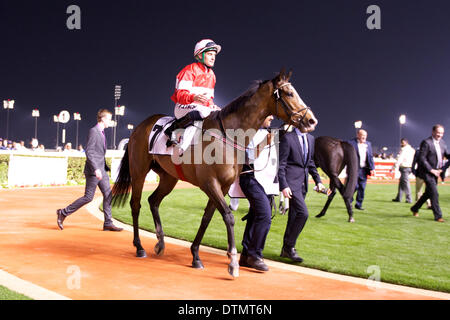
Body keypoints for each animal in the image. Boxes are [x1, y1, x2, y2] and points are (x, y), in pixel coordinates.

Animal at [111, 69, 318, 278]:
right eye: (289, 94)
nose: (311, 120)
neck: (228, 136)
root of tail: (140, 126)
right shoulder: (210, 183)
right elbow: (228, 216)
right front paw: (233, 262)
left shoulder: (223, 186)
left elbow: (207, 218)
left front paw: (195, 256)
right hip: (139, 172)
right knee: (135, 205)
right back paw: (139, 247)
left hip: (169, 177)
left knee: (153, 200)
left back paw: (160, 242)